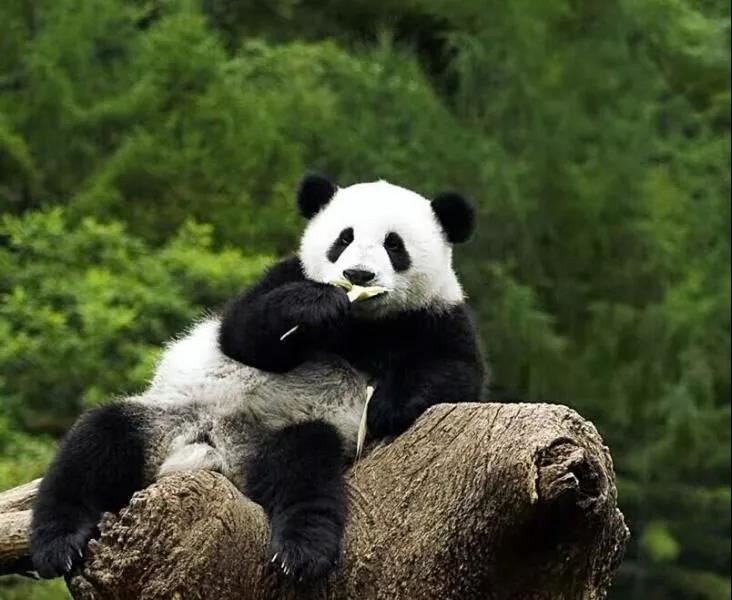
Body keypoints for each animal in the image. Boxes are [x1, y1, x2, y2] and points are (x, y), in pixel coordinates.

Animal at [30, 174, 485, 582]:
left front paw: (386, 407)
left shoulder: (435, 315)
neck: (361, 322)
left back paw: (303, 552)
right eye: (343, 239)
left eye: (394, 245)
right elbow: (241, 333)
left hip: (281, 435)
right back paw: (58, 543)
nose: (357, 275)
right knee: (97, 442)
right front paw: (314, 306)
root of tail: (215, 450)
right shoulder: (283, 276)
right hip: (167, 417)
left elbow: (456, 374)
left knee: (303, 467)